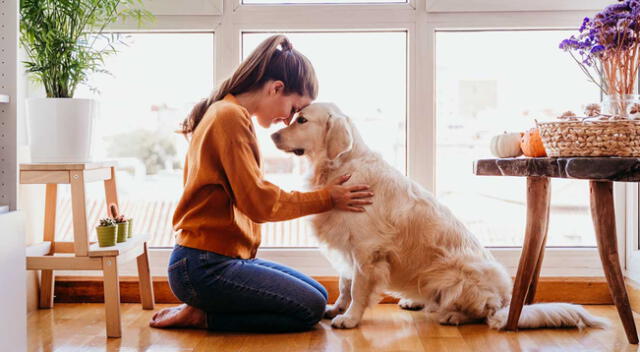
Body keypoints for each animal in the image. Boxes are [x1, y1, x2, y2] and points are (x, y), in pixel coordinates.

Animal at [272, 102, 608, 330]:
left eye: (301, 120)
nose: (273, 134)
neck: (341, 166)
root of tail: (505, 301)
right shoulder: (346, 245)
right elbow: (344, 284)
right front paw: (336, 309)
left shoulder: (366, 251)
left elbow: (357, 288)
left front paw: (350, 318)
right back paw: (415, 300)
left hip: (456, 274)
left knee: (483, 313)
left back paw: (452, 315)